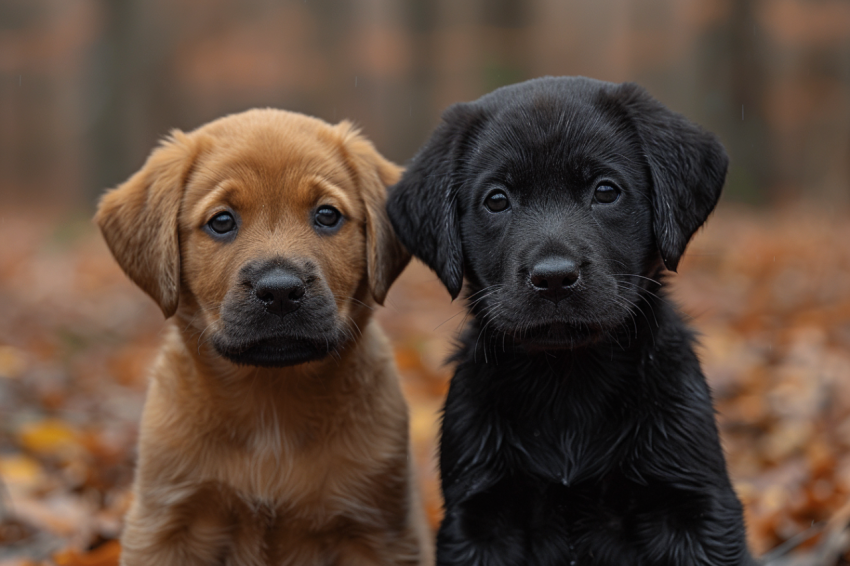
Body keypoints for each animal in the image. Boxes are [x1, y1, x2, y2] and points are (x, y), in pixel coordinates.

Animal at [96, 110, 434, 566]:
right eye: (222, 221)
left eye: (327, 215)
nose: (280, 291)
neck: (271, 407)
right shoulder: (166, 523)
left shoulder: (377, 531)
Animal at [388, 77, 752, 566]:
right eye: (497, 200)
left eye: (606, 190)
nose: (554, 278)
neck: (568, 381)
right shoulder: (480, 519)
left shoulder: (693, 507)